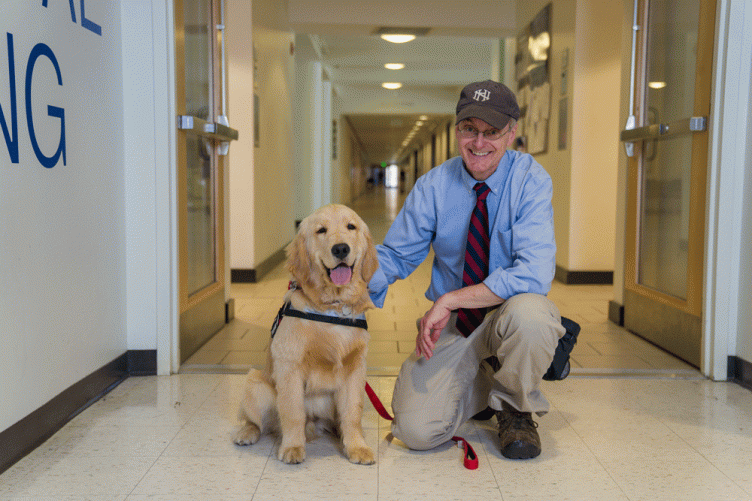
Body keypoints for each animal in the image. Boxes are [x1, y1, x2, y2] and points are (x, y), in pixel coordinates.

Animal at [232, 204, 378, 464]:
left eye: (351, 226)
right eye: (321, 230)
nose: (341, 249)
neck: (333, 308)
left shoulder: (355, 368)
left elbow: (353, 412)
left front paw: (357, 447)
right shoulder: (290, 367)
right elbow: (293, 412)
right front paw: (292, 447)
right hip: (255, 382)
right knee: (257, 420)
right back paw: (247, 433)